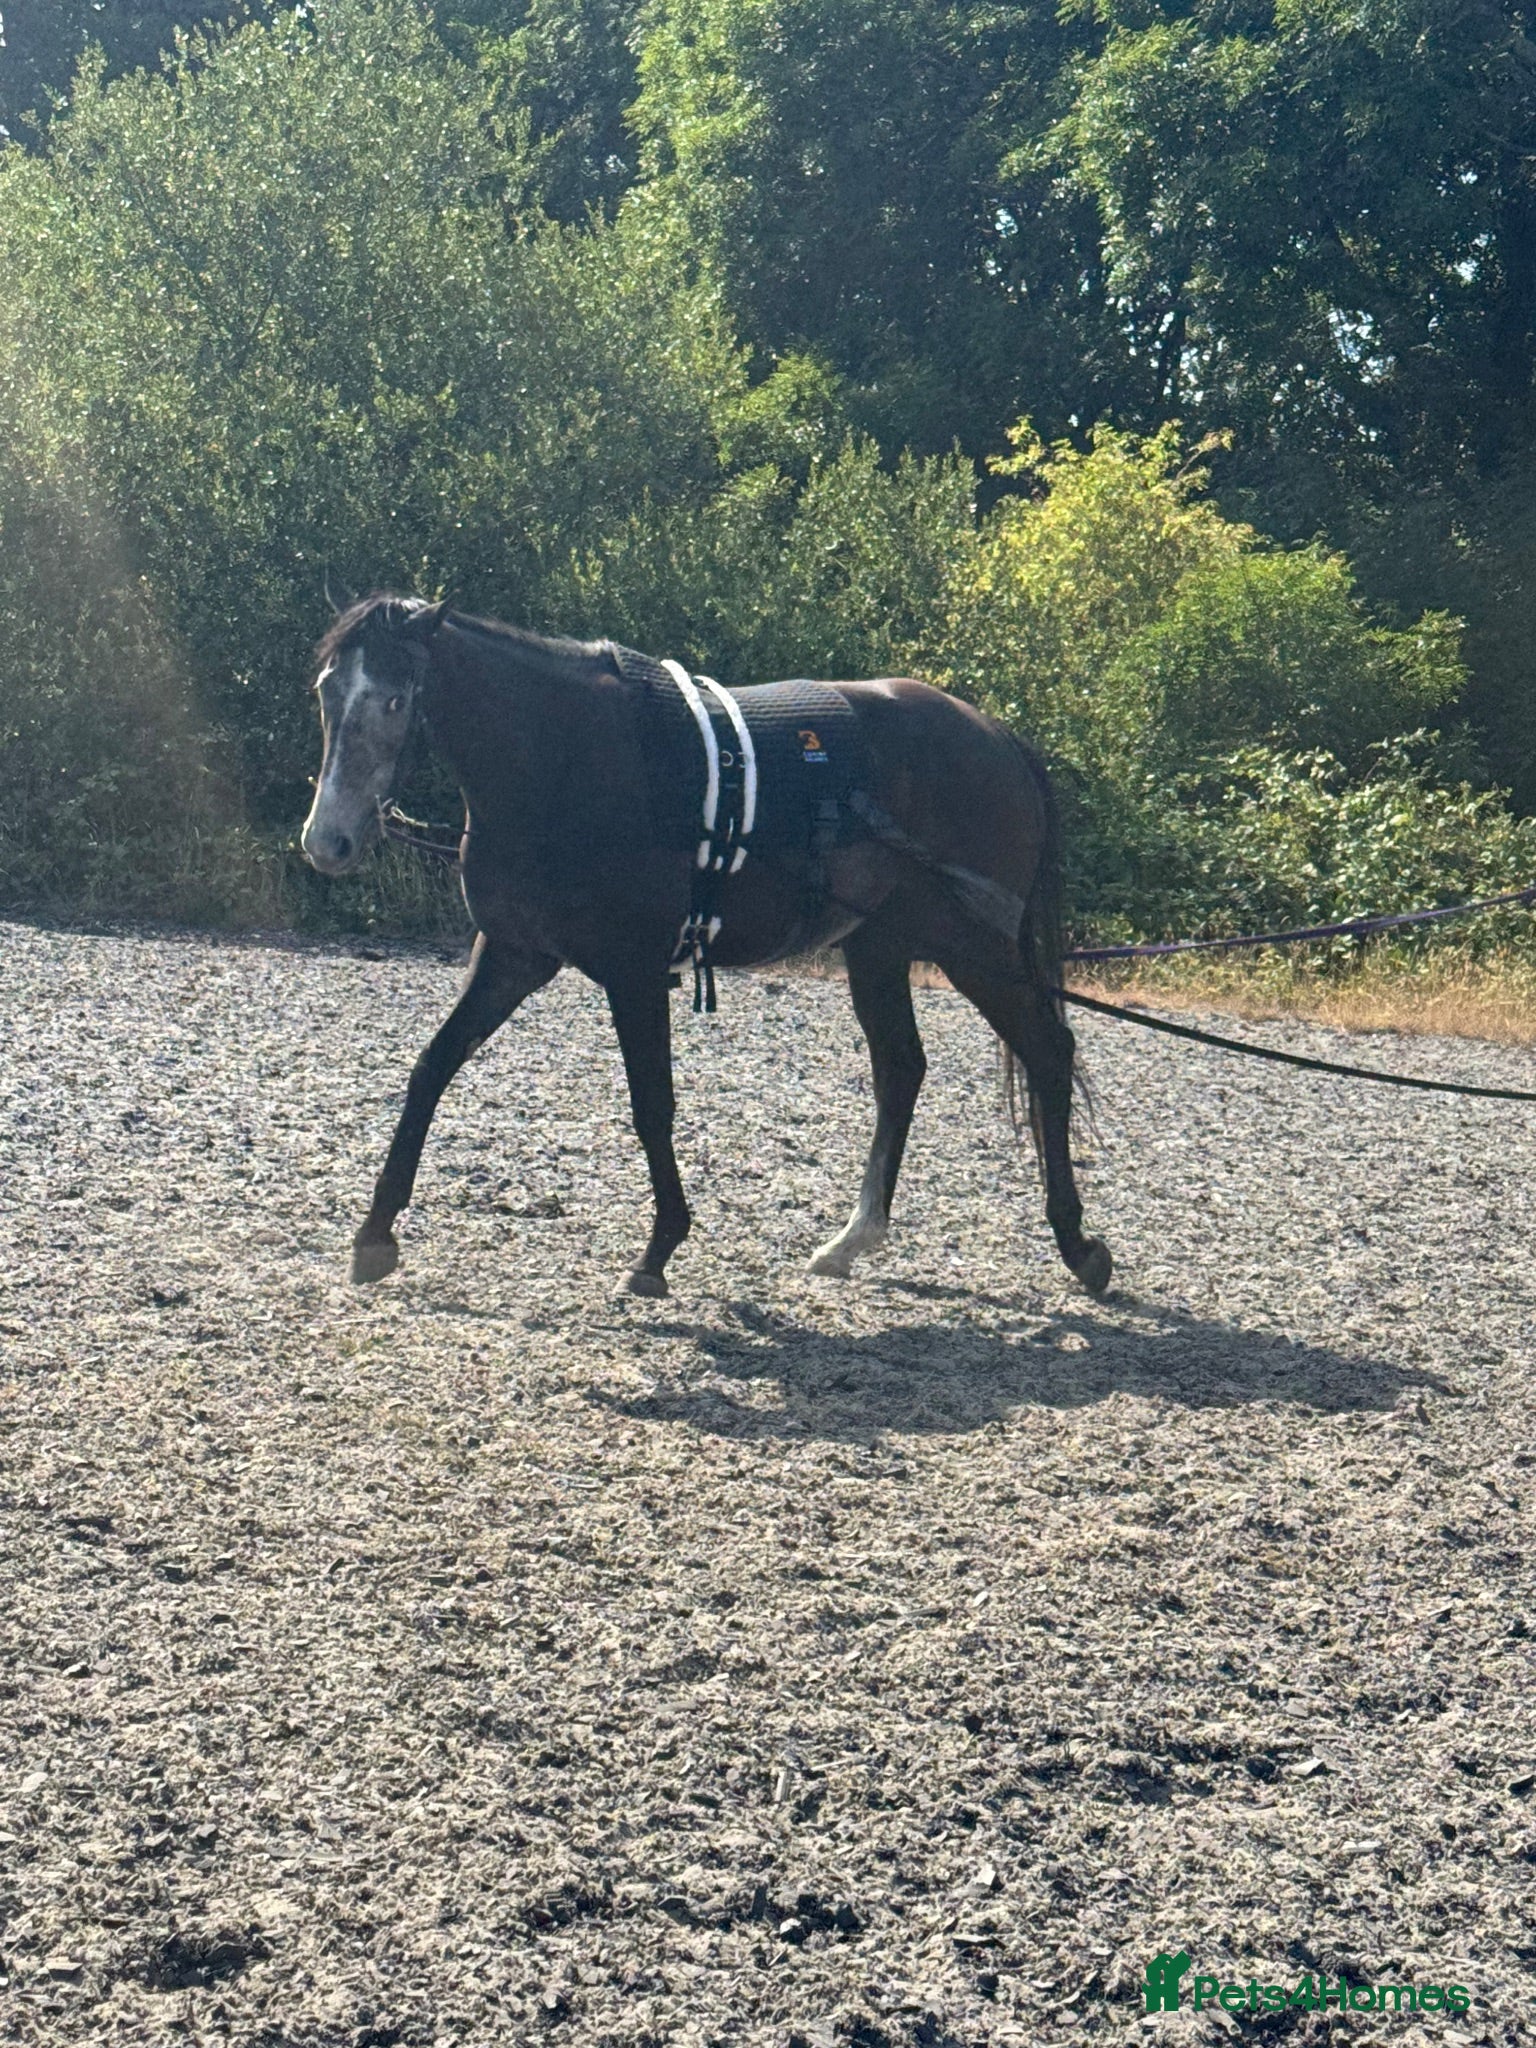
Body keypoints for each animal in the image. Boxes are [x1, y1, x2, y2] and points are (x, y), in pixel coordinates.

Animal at [299, 594, 1111, 1300]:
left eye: (396, 701)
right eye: (327, 692)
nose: (326, 841)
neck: (566, 761)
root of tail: (996, 736)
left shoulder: (631, 972)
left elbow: (651, 1104)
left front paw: (659, 1248)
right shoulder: (511, 956)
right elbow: (431, 1070)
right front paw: (375, 1235)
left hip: (974, 947)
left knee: (1047, 1051)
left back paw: (1078, 1245)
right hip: (879, 948)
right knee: (901, 1070)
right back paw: (854, 1239)